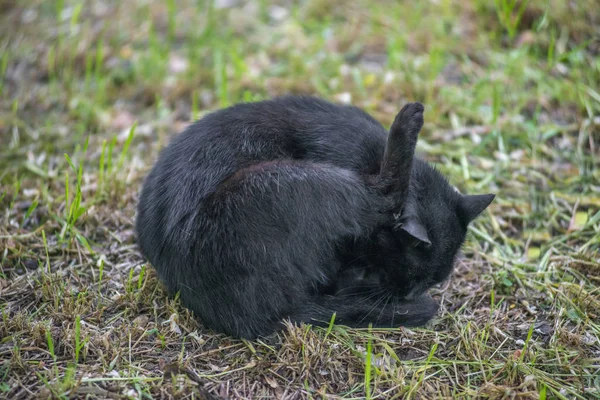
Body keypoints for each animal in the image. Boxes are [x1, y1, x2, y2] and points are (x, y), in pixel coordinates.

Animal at [135, 96, 492, 338]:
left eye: (431, 282)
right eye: (412, 275)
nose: (408, 296)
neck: (367, 156)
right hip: (289, 178)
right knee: (383, 194)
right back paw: (409, 120)